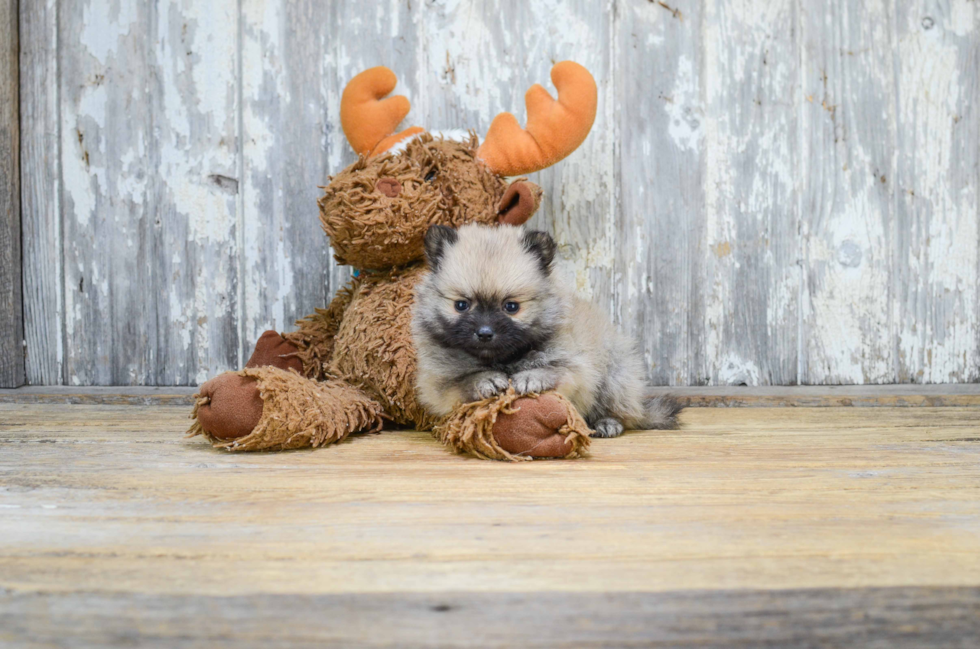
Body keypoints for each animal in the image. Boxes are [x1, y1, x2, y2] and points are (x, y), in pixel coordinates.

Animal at [410, 220, 676, 438]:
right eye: (461, 305)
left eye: (511, 306)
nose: (485, 333)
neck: (503, 359)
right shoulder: (437, 385)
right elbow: (463, 380)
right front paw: (485, 379)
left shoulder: (577, 369)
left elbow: (553, 369)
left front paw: (530, 377)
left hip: (615, 377)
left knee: (622, 411)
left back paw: (607, 423)